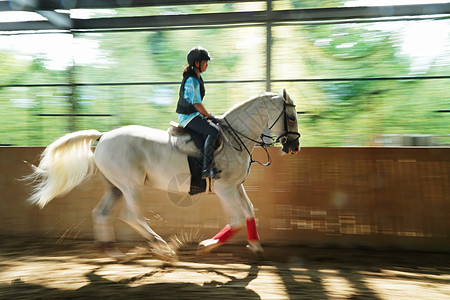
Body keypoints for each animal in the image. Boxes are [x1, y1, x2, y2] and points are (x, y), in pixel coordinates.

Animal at [25, 88, 298, 258]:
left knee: (101, 213)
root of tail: (103, 136)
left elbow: (250, 212)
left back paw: (112, 251)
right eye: (292, 117)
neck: (235, 138)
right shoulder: (225, 188)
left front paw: (256, 246)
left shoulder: (236, 186)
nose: (294, 147)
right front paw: (207, 245)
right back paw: (162, 247)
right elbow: (238, 219)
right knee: (130, 215)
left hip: (115, 187)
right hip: (131, 185)